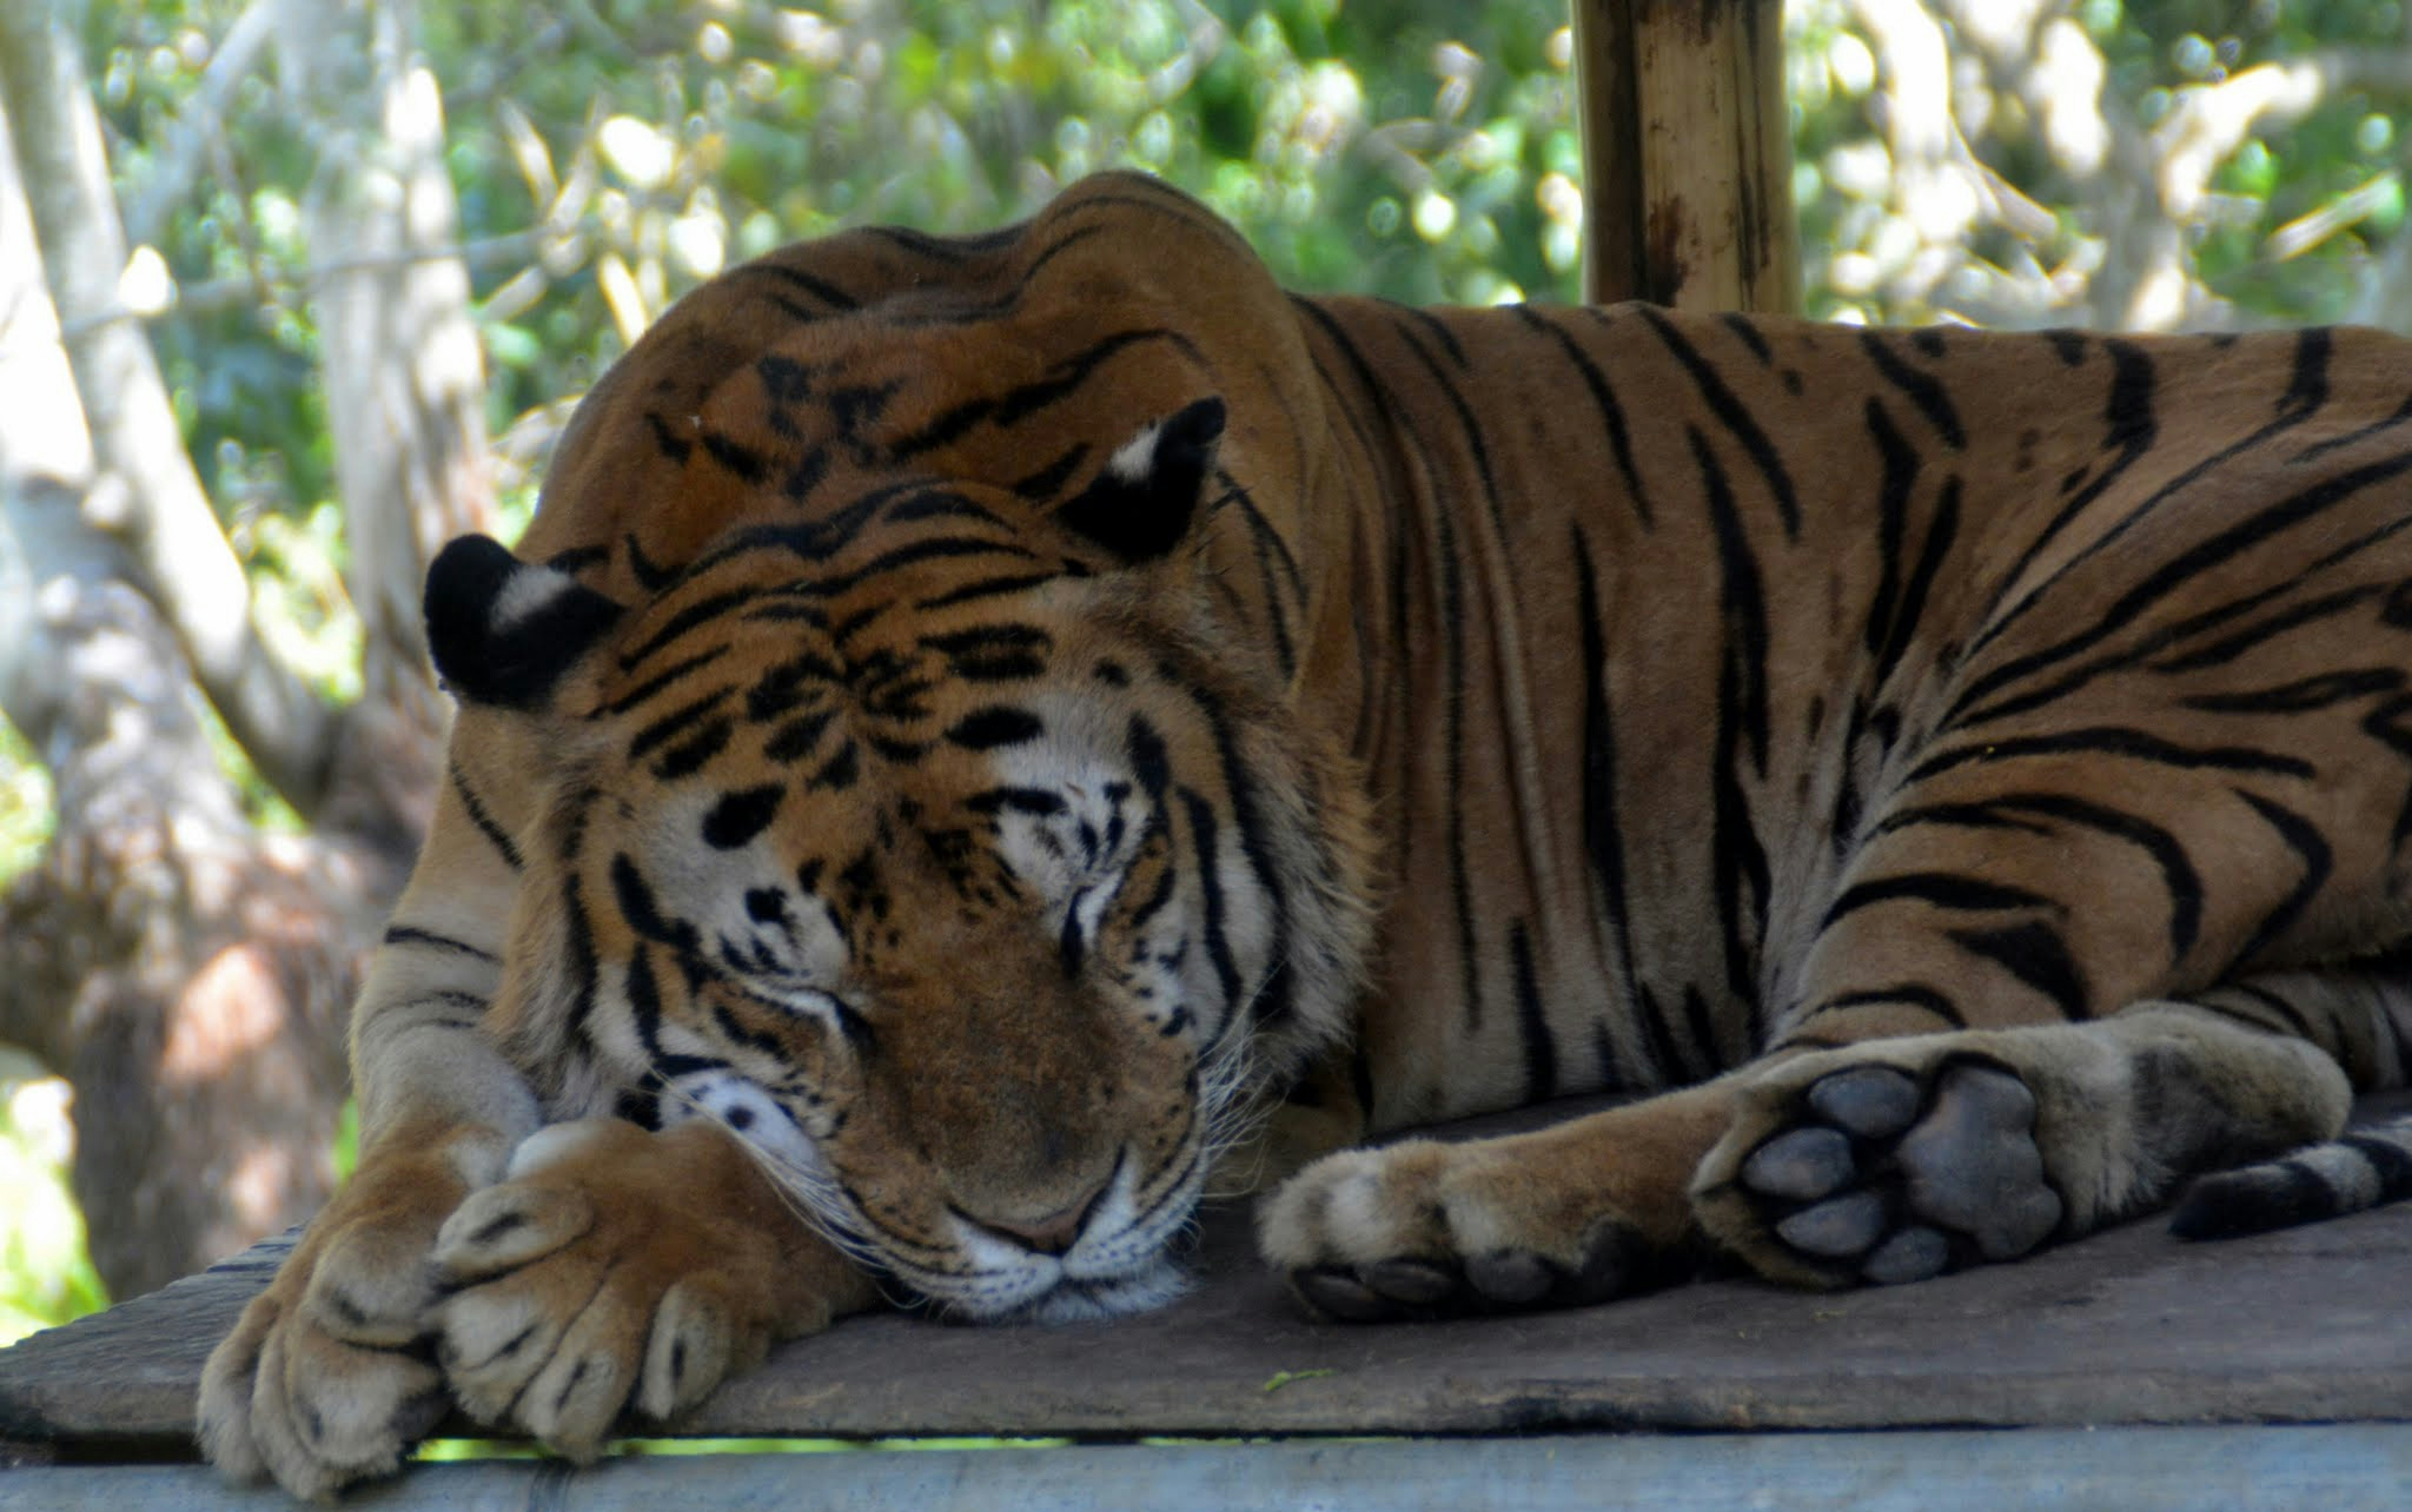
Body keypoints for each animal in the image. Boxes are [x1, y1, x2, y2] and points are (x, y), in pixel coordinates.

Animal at [199, 169, 2412, 1498]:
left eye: (1099, 896)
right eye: (796, 989)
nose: (1058, 1225)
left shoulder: (1254, 1070)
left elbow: (822, 1196)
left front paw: (601, 1257)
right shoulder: (442, 955)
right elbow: (408, 1139)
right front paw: (309, 1330)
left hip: (2112, 678)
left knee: (1816, 1058)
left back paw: (1448, 1217)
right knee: (2241, 1059)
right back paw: (1940, 1164)